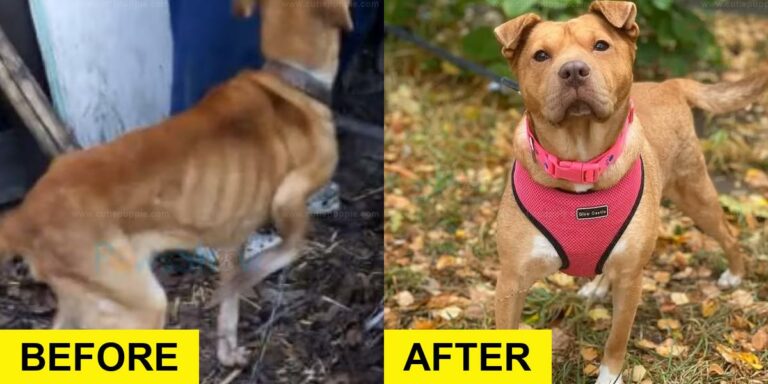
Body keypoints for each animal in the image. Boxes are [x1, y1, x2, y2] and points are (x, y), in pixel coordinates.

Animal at [0, 0, 352, 368]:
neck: (288, 81)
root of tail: (21, 217)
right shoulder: (290, 195)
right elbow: (289, 246)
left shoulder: (231, 242)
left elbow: (230, 305)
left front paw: (227, 351)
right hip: (140, 306)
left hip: (80, 302)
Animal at [492, 1, 768, 382]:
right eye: (541, 55)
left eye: (601, 46)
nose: (574, 71)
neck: (580, 164)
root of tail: (669, 84)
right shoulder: (511, 282)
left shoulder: (631, 280)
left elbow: (616, 340)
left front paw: (609, 376)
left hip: (695, 194)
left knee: (727, 233)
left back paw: (736, 274)